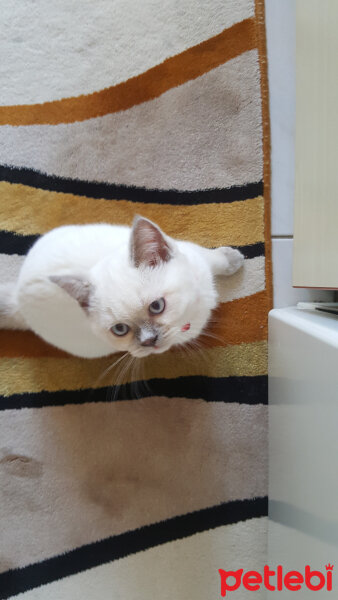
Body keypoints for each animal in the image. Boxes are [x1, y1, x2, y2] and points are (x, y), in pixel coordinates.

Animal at [0, 216, 243, 356]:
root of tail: (18, 295)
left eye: (157, 306)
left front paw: (233, 260)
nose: (148, 341)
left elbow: (215, 260)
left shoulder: (194, 254)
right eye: (120, 330)